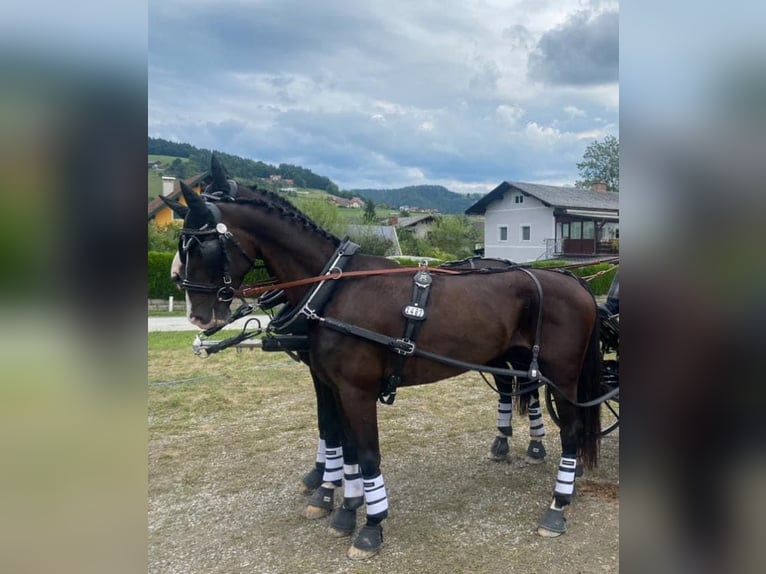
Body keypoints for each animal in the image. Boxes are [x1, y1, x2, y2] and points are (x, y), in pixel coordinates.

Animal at [171, 169, 604, 560]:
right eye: (182, 243)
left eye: (201, 247)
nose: (197, 314)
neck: (332, 288)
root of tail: (575, 282)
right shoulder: (330, 384)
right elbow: (341, 444)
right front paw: (342, 504)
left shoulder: (355, 390)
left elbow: (365, 454)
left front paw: (369, 524)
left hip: (562, 376)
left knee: (570, 430)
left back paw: (558, 504)